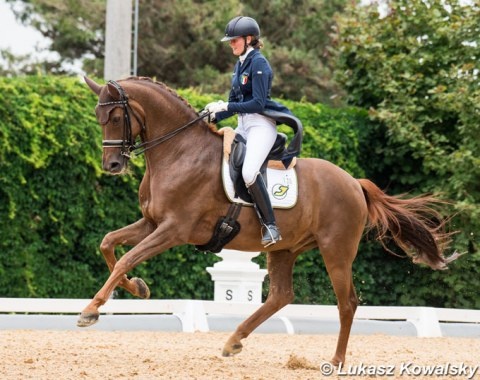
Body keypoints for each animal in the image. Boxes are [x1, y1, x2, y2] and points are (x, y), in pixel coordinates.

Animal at [79, 76, 458, 366]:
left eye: (116, 115)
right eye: (98, 117)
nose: (112, 165)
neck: (179, 152)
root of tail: (354, 182)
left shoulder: (174, 229)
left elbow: (126, 257)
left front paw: (91, 310)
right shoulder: (150, 223)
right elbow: (109, 244)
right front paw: (138, 287)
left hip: (336, 251)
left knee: (347, 303)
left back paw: (335, 361)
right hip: (284, 249)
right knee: (280, 295)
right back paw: (233, 340)